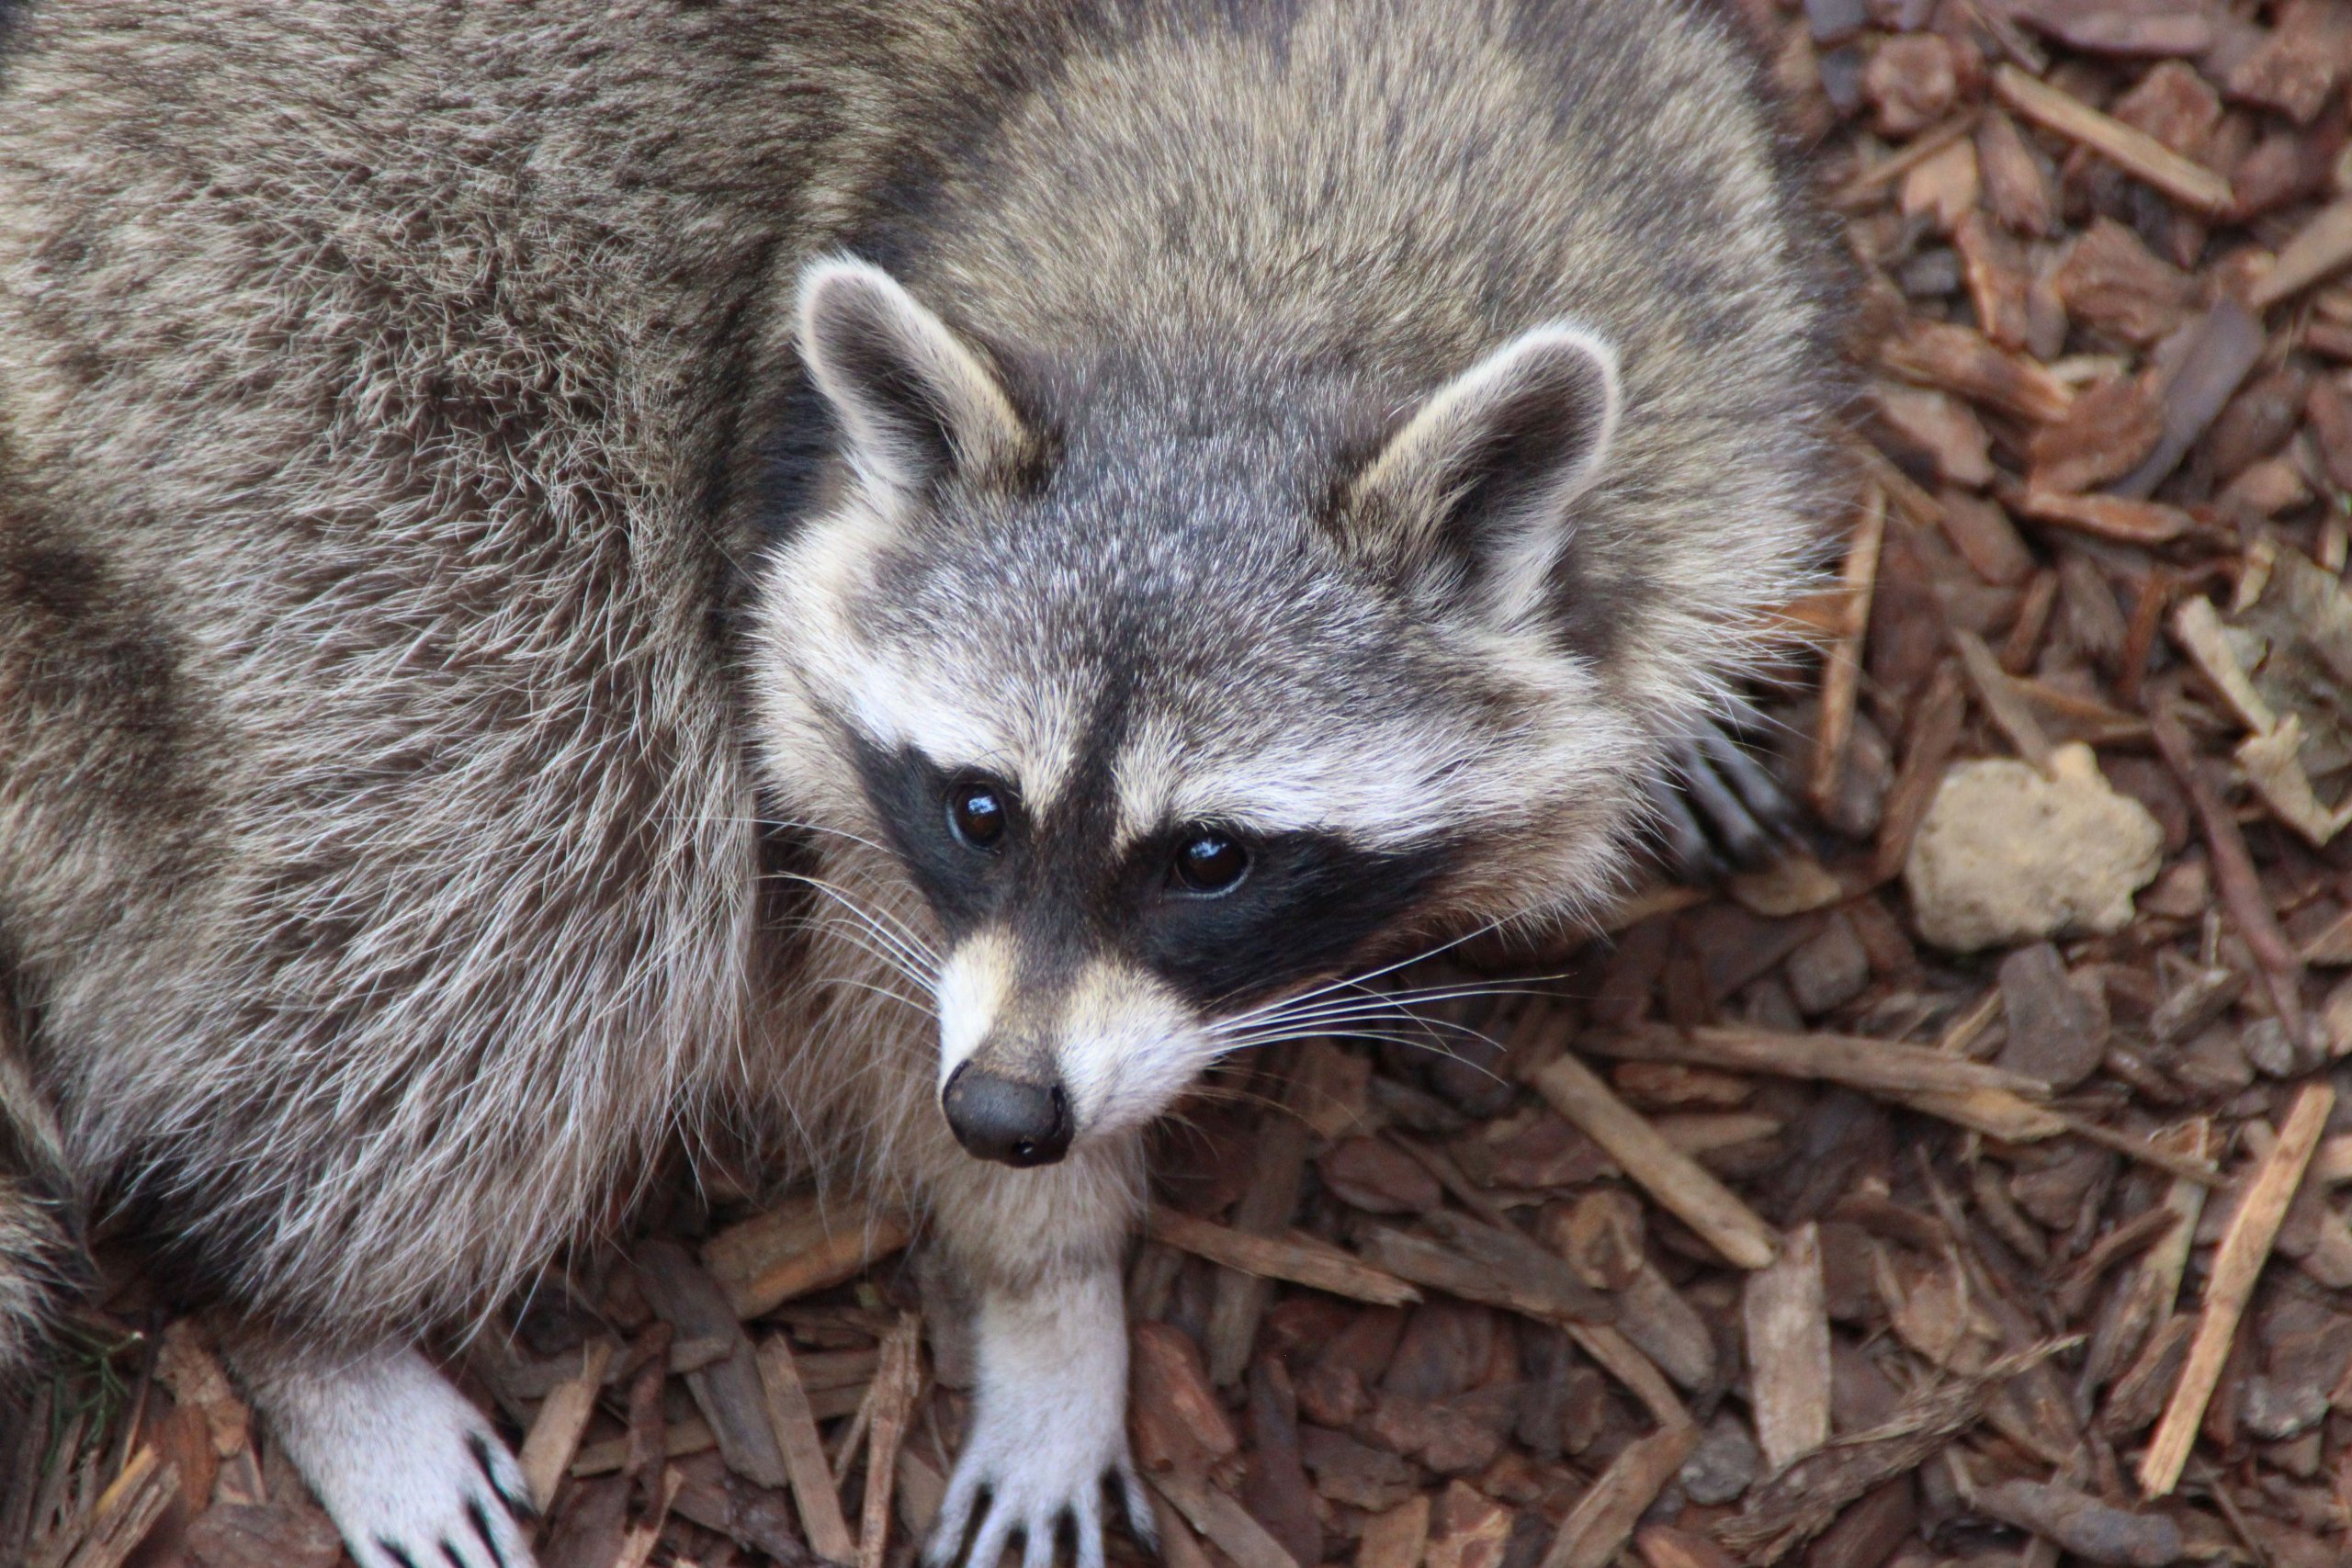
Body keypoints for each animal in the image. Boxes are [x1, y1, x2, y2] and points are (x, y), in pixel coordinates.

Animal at [0, 3, 1834, 1568]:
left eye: (1212, 857)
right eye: (980, 808)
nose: (1007, 1114)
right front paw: (1055, 1289)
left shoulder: (1703, 275)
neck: (1269, 287)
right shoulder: (775, 528)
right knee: (542, 827)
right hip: (289, 369)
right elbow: (850, 949)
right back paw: (278, 1294)